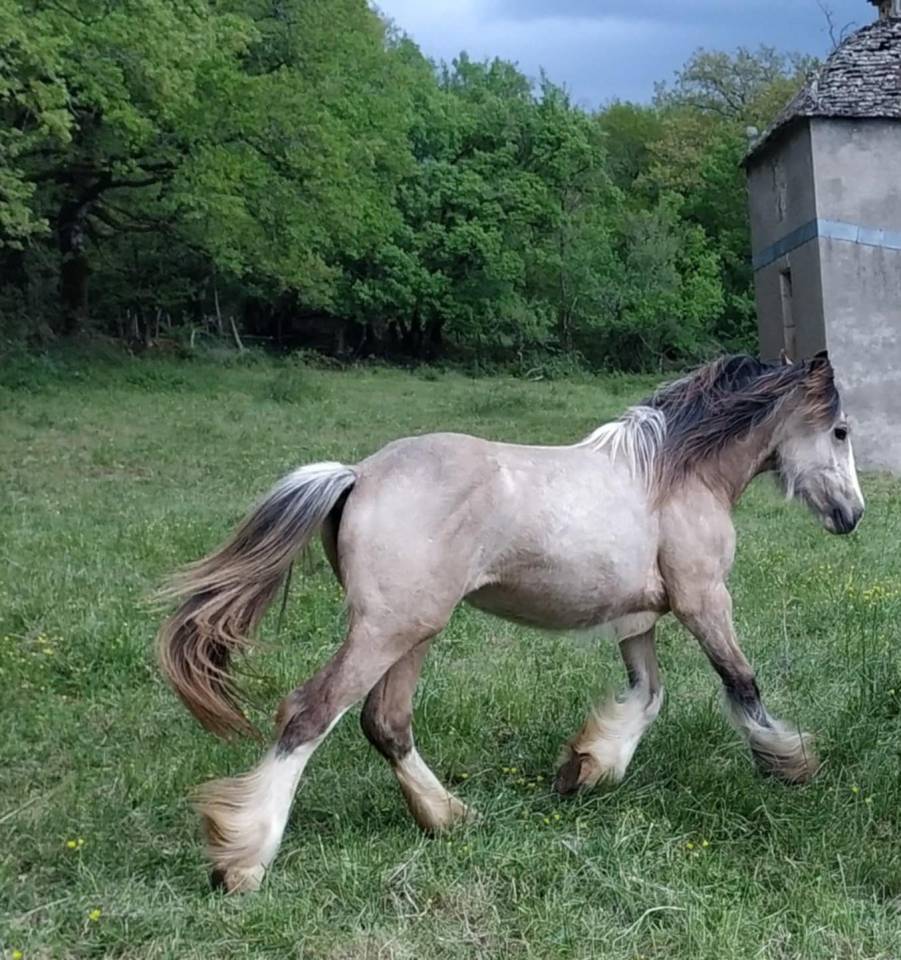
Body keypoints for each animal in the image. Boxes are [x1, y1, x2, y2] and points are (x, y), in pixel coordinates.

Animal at [158, 351, 864, 893]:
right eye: (840, 431)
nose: (852, 515)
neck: (675, 474)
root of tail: (356, 475)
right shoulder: (703, 600)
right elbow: (741, 684)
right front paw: (791, 763)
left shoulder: (637, 618)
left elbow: (648, 696)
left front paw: (585, 769)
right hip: (386, 630)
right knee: (310, 713)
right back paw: (242, 861)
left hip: (413, 631)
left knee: (385, 722)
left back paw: (450, 817)